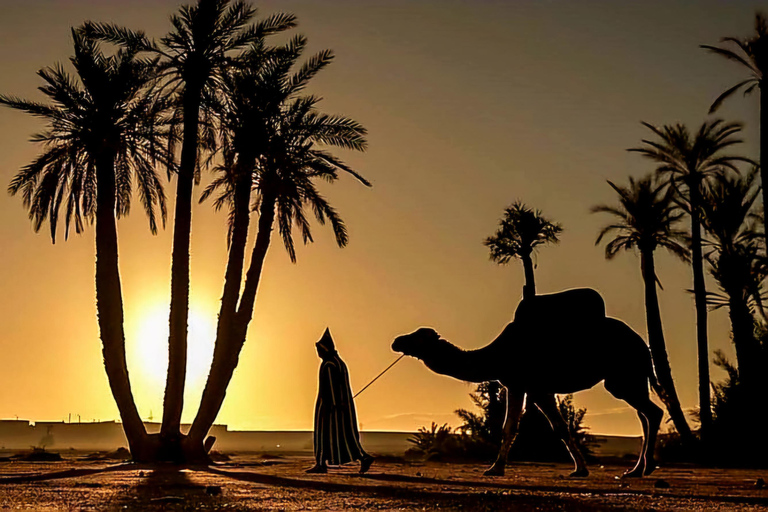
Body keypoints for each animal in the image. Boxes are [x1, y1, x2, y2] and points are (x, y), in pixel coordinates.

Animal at [392, 288, 664, 476]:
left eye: (418, 337)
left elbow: (509, 427)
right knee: (644, 415)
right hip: (631, 377)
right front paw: (580, 469)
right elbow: (560, 427)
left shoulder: (518, 383)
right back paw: (637, 469)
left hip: (623, 375)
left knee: (653, 412)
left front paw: (495, 468)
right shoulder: (540, 389)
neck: (496, 355)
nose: (396, 341)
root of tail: (643, 344)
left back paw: (645, 468)